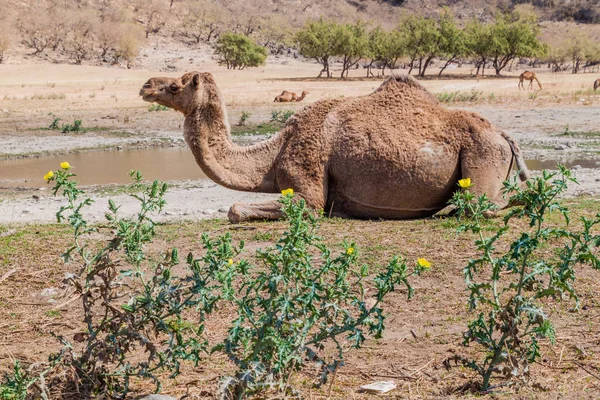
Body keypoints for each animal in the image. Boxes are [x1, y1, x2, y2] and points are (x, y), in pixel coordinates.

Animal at [138, 72, 528, 222]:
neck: (274, 153)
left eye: (175, 86)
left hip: (483, 153)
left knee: (483, 205)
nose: (145, 86)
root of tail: (502, 133)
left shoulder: (307, 183)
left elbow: (236, 208)